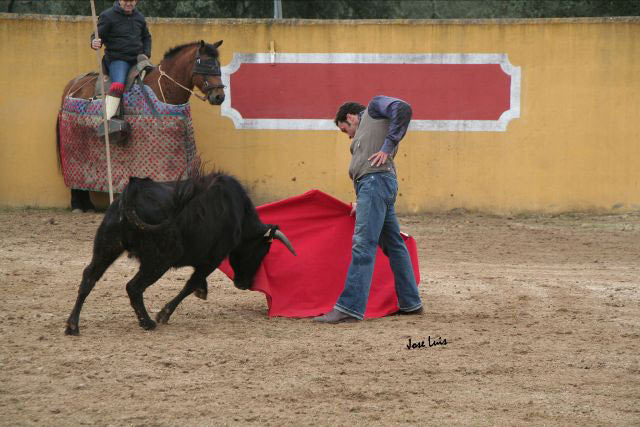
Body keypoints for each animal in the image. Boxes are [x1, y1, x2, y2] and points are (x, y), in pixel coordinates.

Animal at [57, 40, 226, 212]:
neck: (163, 87)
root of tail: (72, 86)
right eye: (203, 64)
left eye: (217, 64)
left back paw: (88, 205)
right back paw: (77, 204)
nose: (219, 96)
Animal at [65, 172, 296, 336]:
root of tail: (133, 192)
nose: (244, 284)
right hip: (159, 260)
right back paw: (148, 323)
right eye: (261, 251)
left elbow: (195, 281)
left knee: (89, 277)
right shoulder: (213, 258)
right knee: (133, 286)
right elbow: (190, 284)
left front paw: (201, 291)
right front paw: (164, 314)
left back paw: (72, 326)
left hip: (107, 246)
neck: (238, 212)